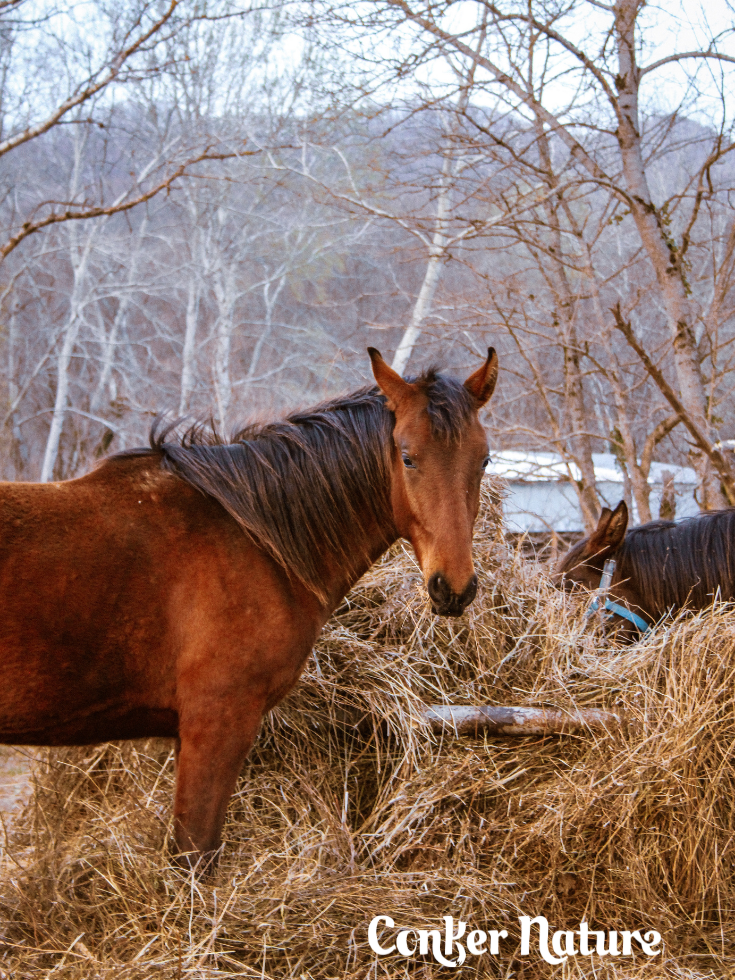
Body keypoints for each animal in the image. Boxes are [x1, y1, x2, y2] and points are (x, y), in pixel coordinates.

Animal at [0, 346, 500, 864]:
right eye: (407, 457)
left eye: (483, 460)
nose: (453, 587)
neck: (253, 537)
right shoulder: (216, 727)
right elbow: (195, 855)